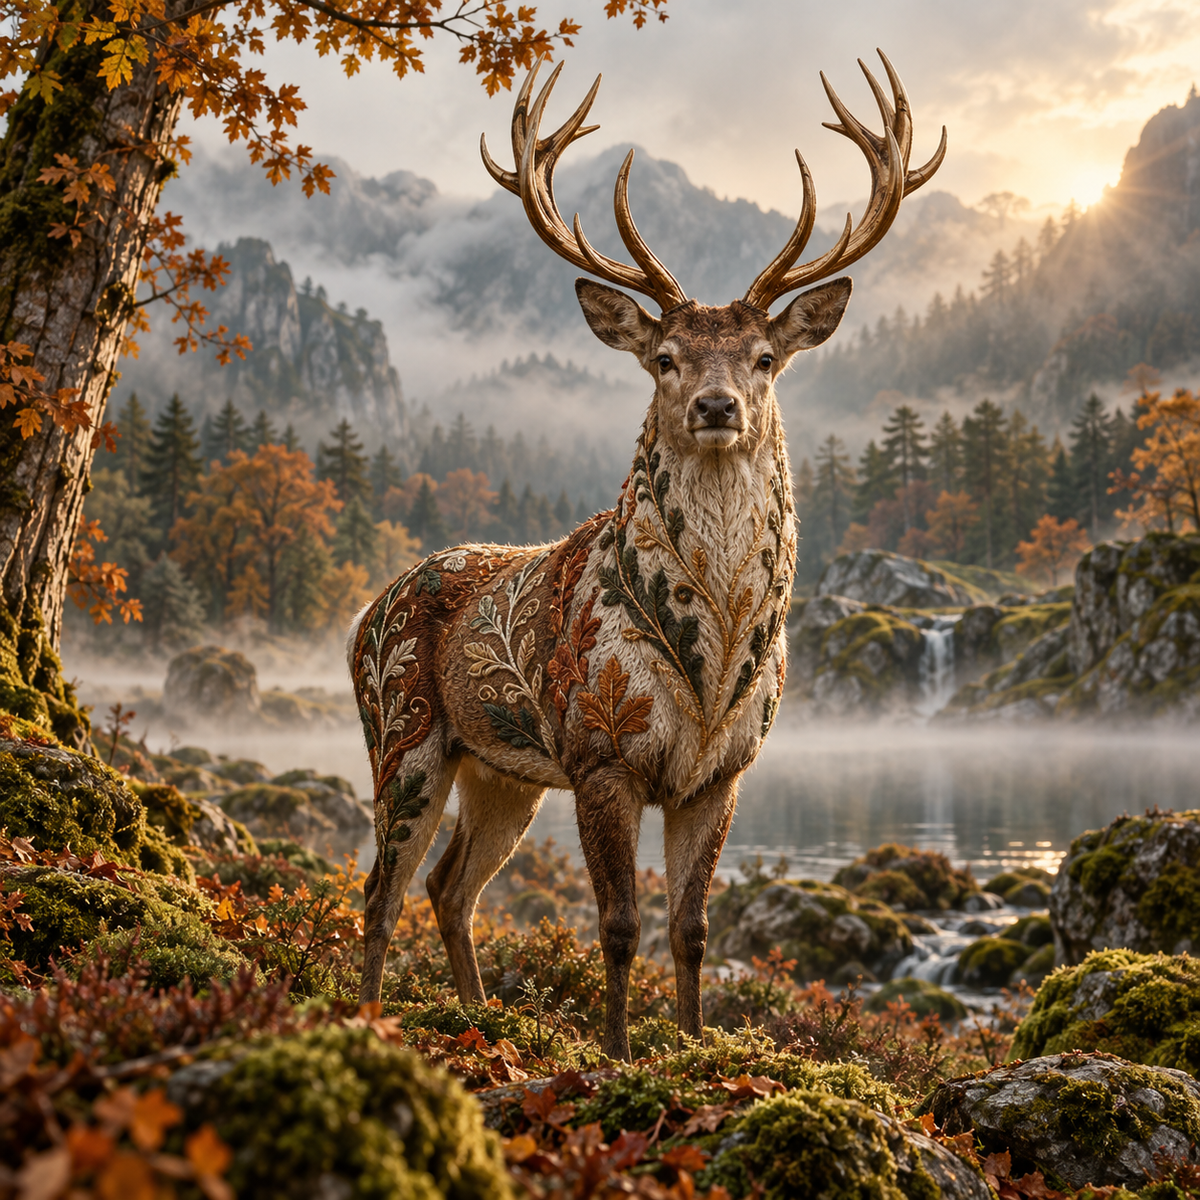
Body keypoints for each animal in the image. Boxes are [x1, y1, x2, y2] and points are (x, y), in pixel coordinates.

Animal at [351, 51, 945, 1060]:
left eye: (763, 358)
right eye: (664, 356)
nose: (715, 405)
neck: (713, 652)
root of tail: (363, 614)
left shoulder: (723, 770)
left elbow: (692, 927)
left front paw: (696, 1044)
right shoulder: (602, 750)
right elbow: (620, 924)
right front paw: (620, 1053)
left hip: (503, 771)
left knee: (450, 885)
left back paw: (478, 1016)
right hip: (403, 727)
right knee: (381, 890)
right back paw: (362, 1015)